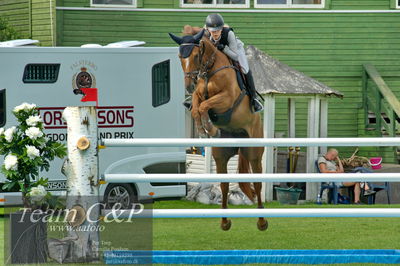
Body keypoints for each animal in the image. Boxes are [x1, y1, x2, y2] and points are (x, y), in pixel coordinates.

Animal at [170, 28, 268, 229]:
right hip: (221, 156)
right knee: (224, 185)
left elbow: (204, 106)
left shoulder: (227, 99)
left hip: (254, 153)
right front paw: (204, 130)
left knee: (257, 183)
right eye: (179, 57)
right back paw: (225, 222)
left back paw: (262, 222)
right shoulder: (198, 95)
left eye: (196, 55)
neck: (209, 70)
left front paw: (209, 128)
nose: (189, 86)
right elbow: (197, 106)